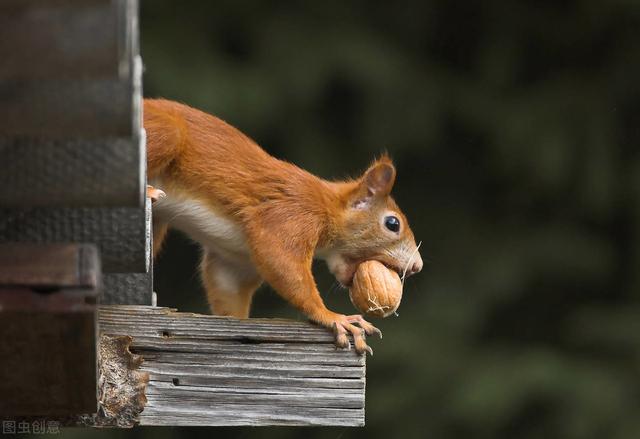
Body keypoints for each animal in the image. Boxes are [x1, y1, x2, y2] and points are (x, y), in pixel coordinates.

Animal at [143, 99, 422, 354]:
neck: (326, 206)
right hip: (165, 131)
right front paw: (333, 317)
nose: (417, 266)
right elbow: (283, 263)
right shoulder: (290, 216)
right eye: (393, 223)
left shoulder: (235, 260)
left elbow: (227, 288)